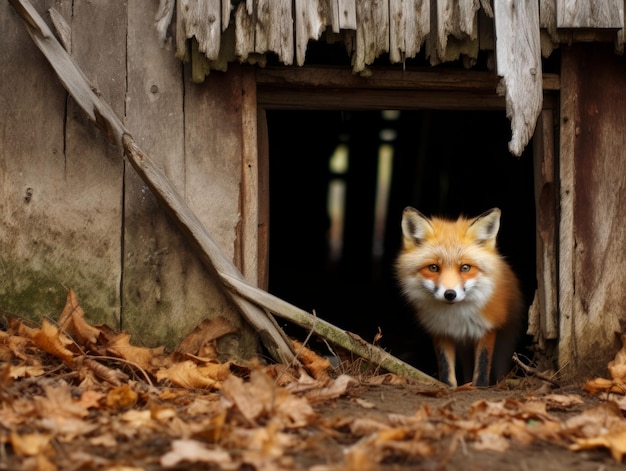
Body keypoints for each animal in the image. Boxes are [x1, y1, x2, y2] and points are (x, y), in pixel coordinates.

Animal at [394, 208, 520, 390]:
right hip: (464, 348)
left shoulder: (487, 329)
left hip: (505, 344)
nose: (450, 294)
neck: (456, 315)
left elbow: (482, 367)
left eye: (465, 268)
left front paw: (480, 388)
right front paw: (449, 387)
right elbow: (446, 367)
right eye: (433, 268)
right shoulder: (441, 330)